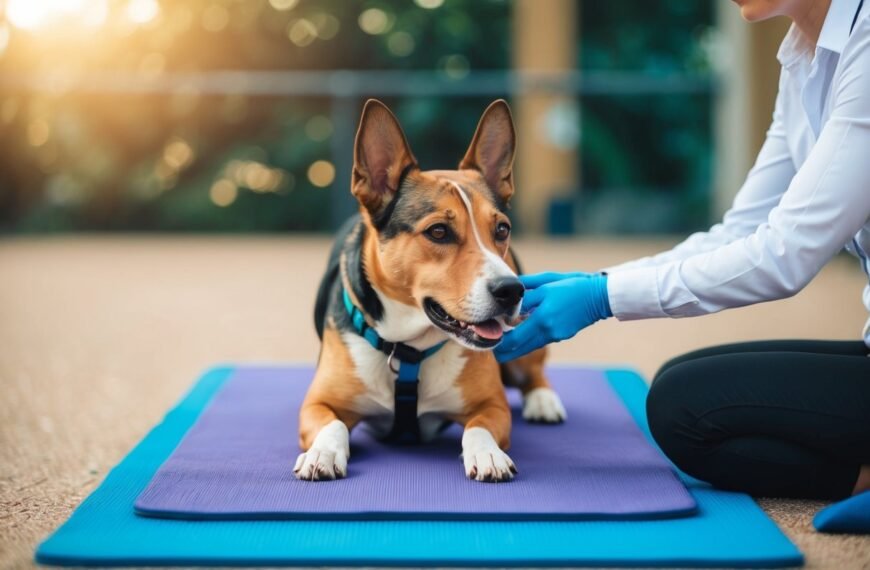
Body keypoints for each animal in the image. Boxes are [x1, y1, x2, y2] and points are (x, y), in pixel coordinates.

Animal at [296, 100, 568, 482]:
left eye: (501, 229)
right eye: (438, 232)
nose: (511, 290)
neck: (410, 350)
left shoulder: (492, 405)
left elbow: (479, 426)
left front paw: (488, 453)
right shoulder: (318, 402)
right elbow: (330, 424)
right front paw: (322, 451)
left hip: (519, 348)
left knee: (533, 371)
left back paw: (543, 400)